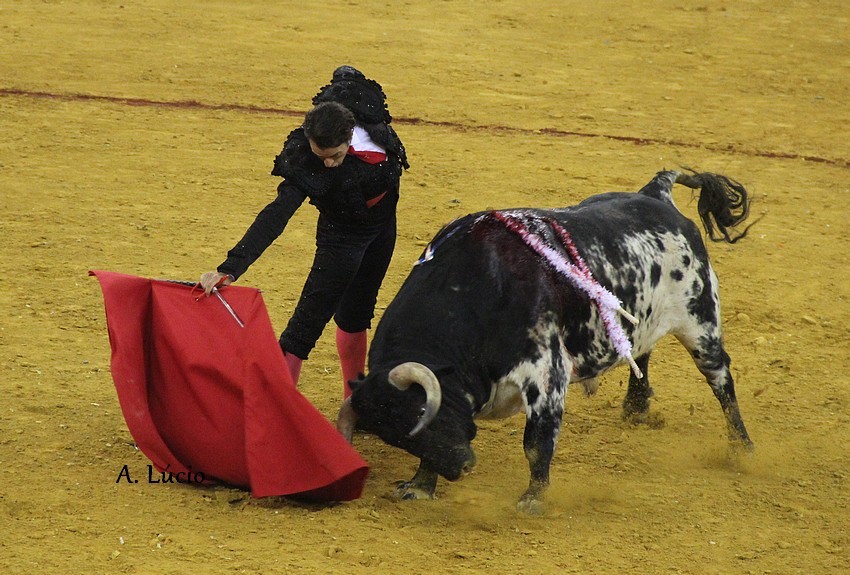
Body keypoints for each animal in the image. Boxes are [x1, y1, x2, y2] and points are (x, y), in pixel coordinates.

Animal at [337, 169, 755, 514]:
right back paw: (636, 408)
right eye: (397, 438)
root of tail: (657, 193)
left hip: (701, 323)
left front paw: (533, 499)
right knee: (642, 350)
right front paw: (421, 485)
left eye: (422, 412)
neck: (476, 289)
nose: (462, 467)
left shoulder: (545, 375)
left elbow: (536, 442)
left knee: (721, 380)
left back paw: (742, 451)